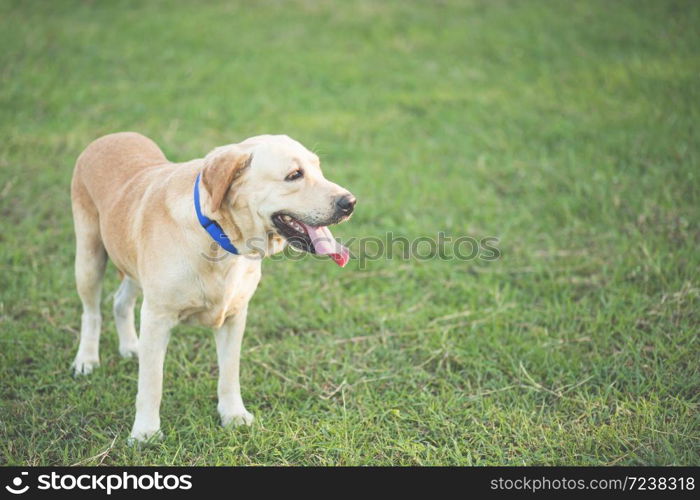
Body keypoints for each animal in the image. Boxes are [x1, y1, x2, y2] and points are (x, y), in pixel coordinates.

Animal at [69, 132, 356, 442]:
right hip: (89, 257)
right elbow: (151, 383)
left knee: (120, 301)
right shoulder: (157, 317)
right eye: (294, 175)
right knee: (91, 312)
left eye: (318, 167)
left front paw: (233, 414)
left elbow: (229, 373)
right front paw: (145, 432)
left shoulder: (234, 316)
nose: (350, 202)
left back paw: (131, 347)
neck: (219, 237)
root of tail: (111, 135)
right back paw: (86, 359)